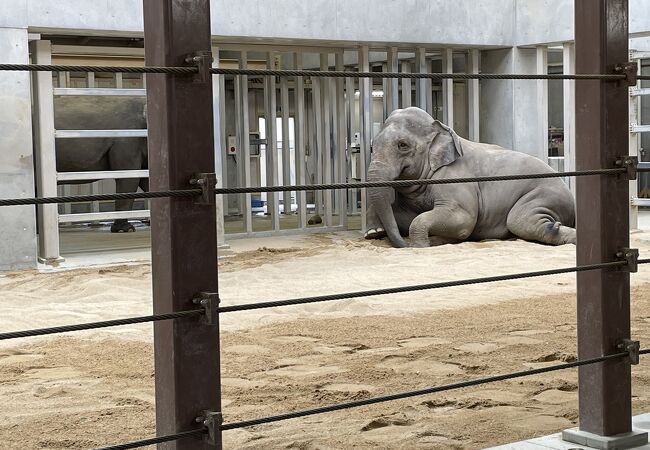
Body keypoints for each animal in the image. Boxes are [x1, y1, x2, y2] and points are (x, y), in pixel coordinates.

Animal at [362, 107, 576, 248]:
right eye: (371, 147)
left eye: (403, 145)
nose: (403, 245)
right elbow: (403, 215)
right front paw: (373, 233)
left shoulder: (455, 180)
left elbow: (463, 220)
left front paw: (420, 245)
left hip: (543, 194)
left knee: (520, 220)